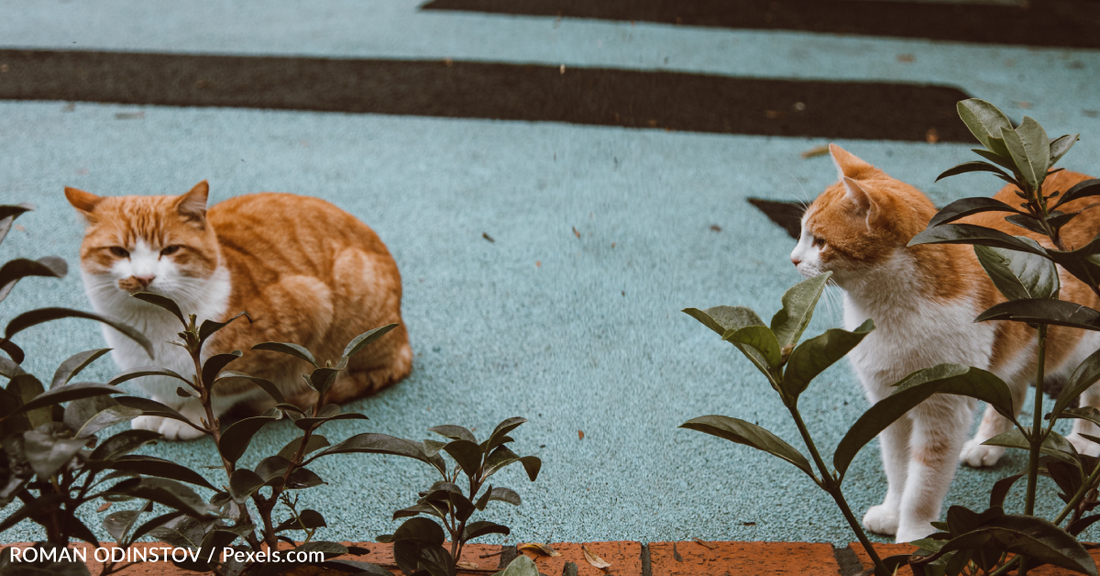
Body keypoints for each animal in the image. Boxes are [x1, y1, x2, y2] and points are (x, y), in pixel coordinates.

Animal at [67, 180, 413, 441]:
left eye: (171, 250)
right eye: (118, 251)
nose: (143, 277)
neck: (151, 327)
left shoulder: (306, 306)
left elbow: (223, 391)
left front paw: (190, 418)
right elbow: (165, 394)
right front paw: (158, 409)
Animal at [792, 146, 1100, 543]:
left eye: (820, 242)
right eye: (803, 235)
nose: (793, 259)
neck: (890, 311)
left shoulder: (943, 412)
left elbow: (923, 483)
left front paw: (914, 535)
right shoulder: (887, 405)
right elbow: (898, 468)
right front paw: (892, 514)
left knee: (1090, 395)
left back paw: (1085, 441)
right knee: (1013, 389)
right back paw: (989, 444)